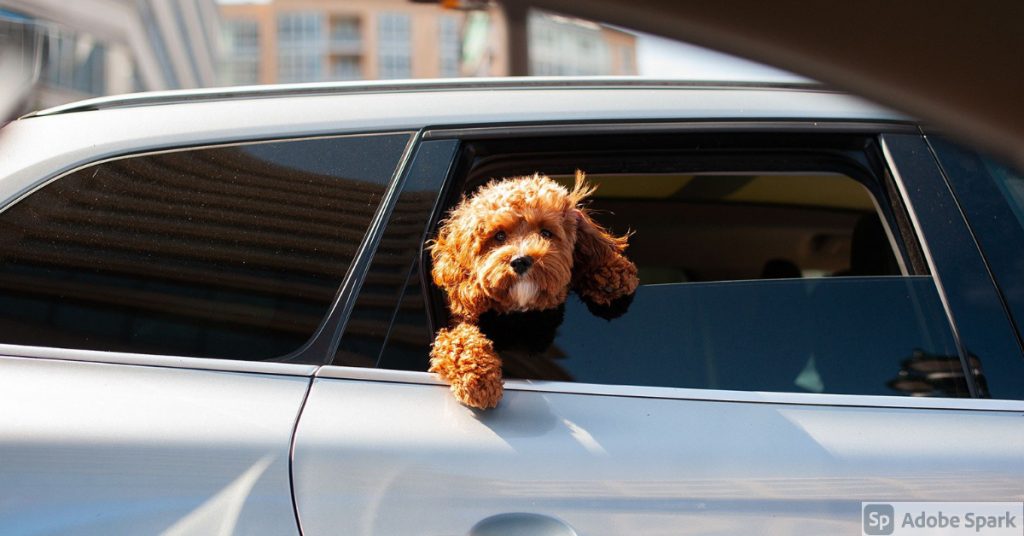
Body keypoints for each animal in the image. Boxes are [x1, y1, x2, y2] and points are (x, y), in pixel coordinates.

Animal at [428, 172, 634, 411]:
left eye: (546, 232)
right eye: (499, 236)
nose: (520, 261)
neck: (520, 313)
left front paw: (613, 273)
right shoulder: (456, 325)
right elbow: (458, 341)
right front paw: (479, 380)